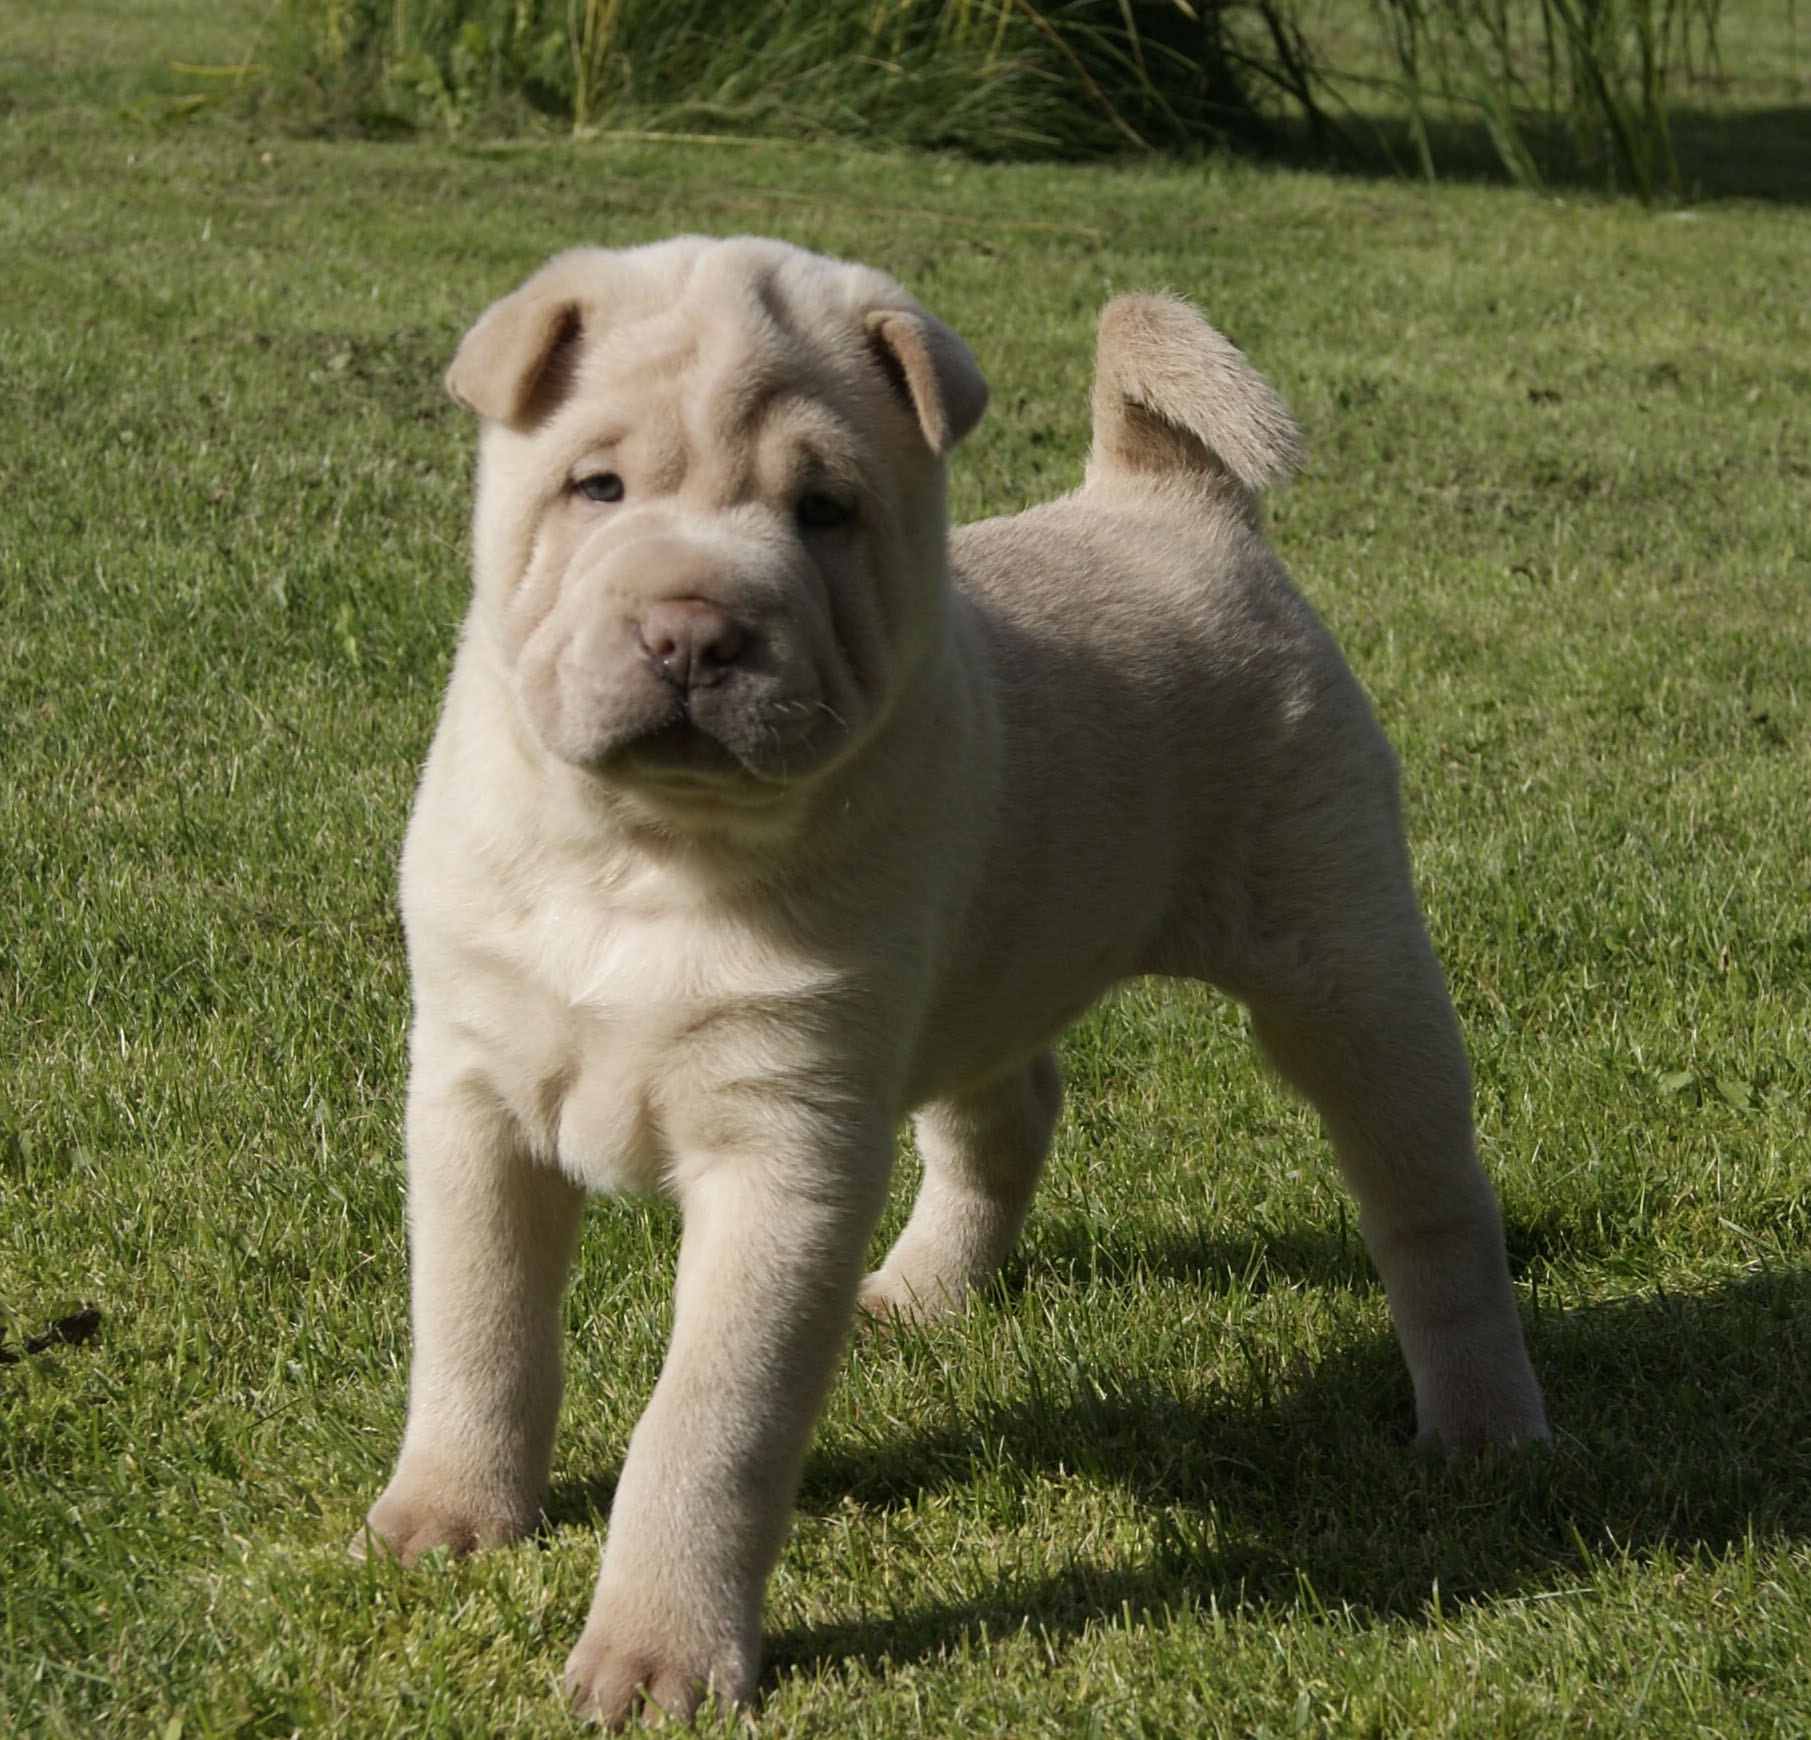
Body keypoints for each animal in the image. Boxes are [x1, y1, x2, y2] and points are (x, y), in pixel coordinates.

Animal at [360, 233, 1550, 1723]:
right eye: (598, 488)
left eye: (822, 512)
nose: (694, 631)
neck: (645, 853)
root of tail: (1166, 494)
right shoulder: (473, 1095)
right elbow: (475, 1326)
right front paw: (450, 1514)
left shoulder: (786, 1152)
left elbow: (705, 1425)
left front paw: (656, 1653)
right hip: (983, 960)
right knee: (1006, 1113)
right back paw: (924, 1289)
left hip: (1343, 959)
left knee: (1430, 1201)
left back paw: (1485, 1421)